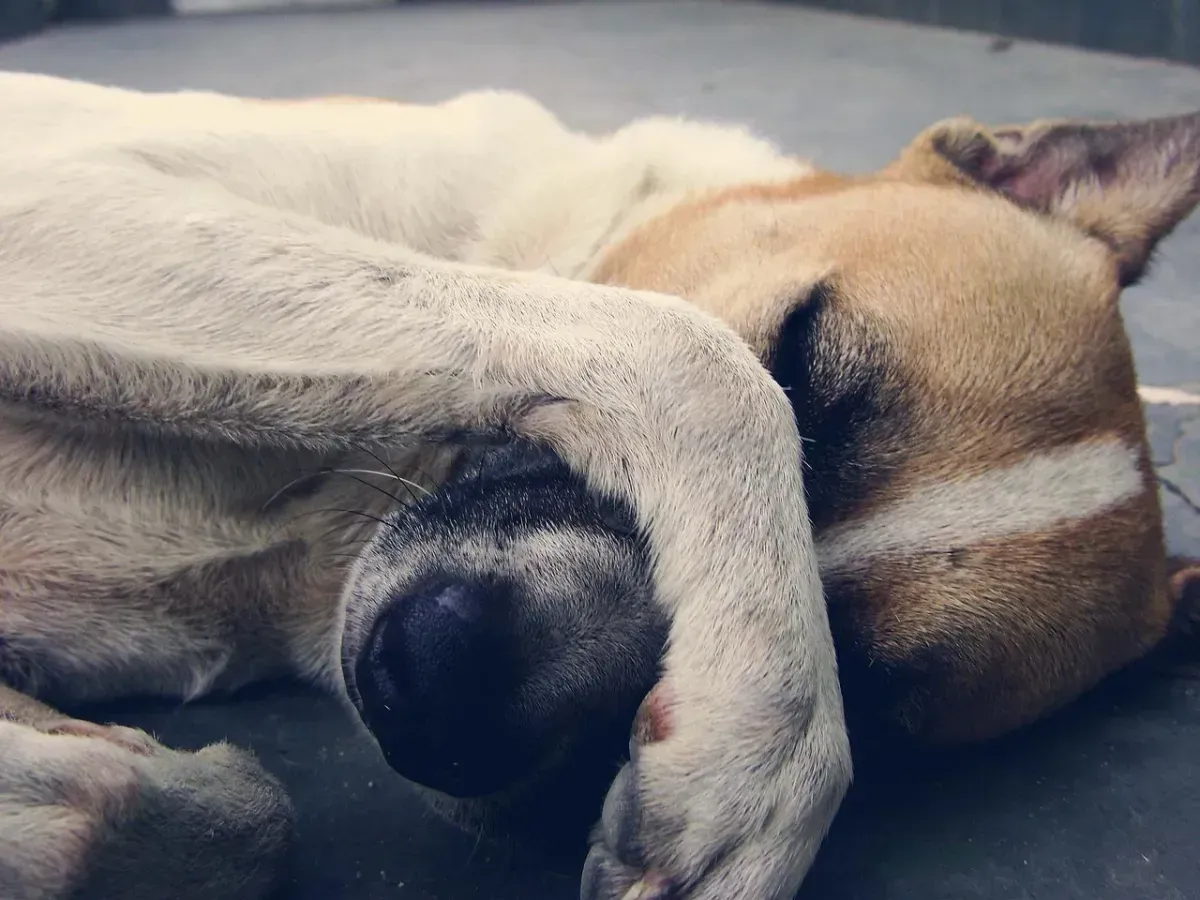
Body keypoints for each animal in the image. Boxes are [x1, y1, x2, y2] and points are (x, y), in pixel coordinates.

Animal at [2, 75, 1200, 900]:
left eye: (874, 690)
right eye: (802, 356)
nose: (437, 696)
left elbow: (252, 812)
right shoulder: (54, 198)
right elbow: (693, 356)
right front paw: (761, 752)